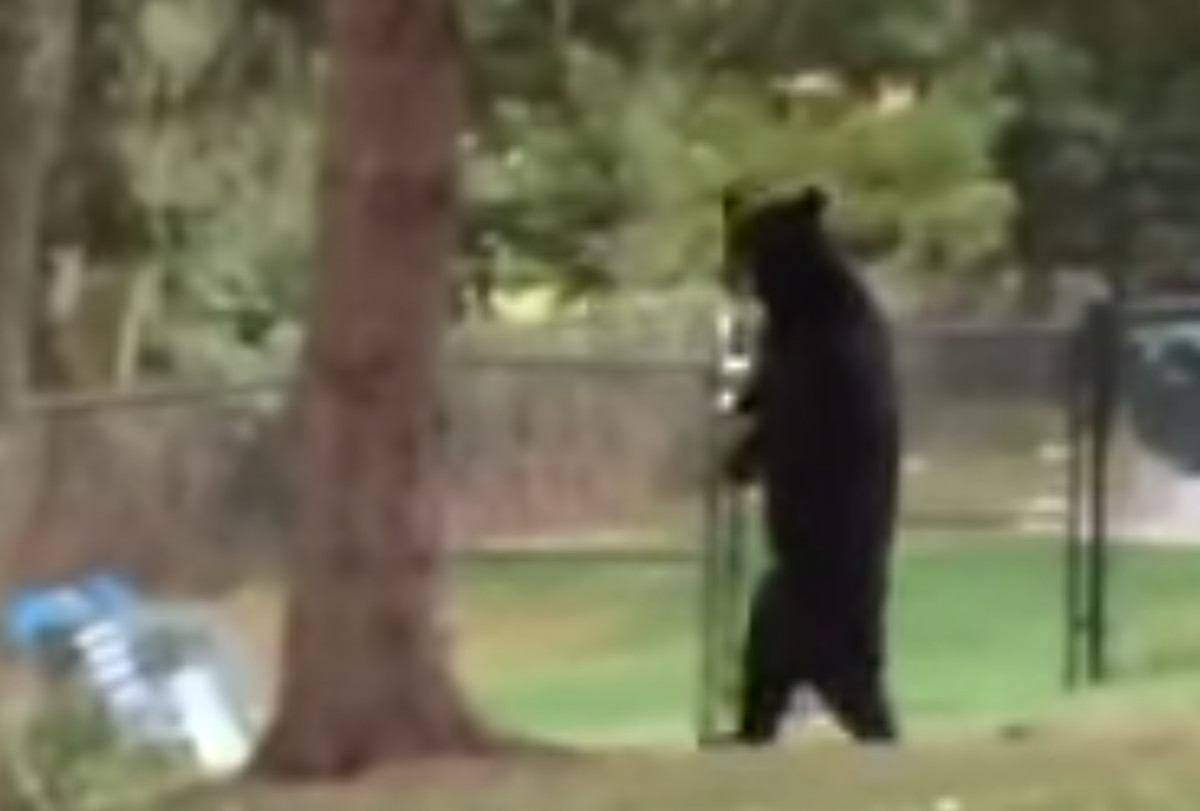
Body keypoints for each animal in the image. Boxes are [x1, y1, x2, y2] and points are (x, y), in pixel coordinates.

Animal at [720, 184, 902, 745]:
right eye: (733, 229)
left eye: (754, 231)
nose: (726, 269)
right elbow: (757, 393)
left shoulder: (814, 372)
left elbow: (780, 425)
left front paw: (734, 455)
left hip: (782, 614)